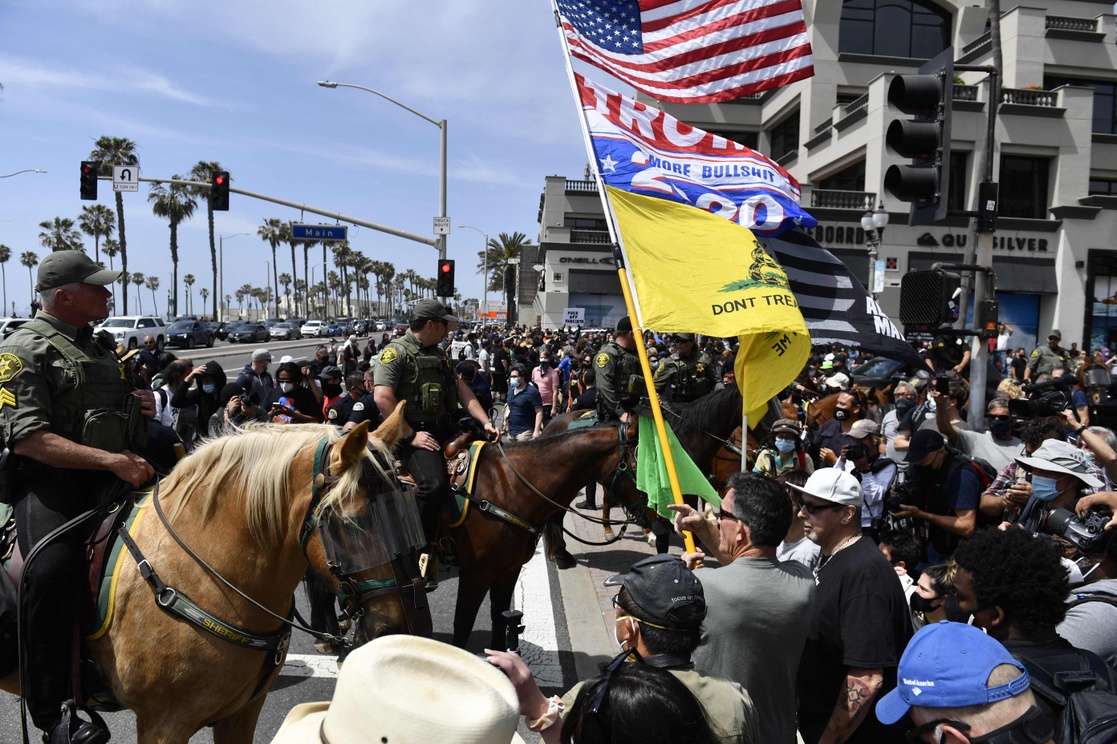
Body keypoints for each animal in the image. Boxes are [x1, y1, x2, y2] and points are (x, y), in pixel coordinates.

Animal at [444, 420, 647, 647]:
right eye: (646, 464)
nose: (653, 510)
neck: (507, 487)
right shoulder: (475, 574)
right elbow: (463, 626)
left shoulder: (508, 569)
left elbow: (499, 616)